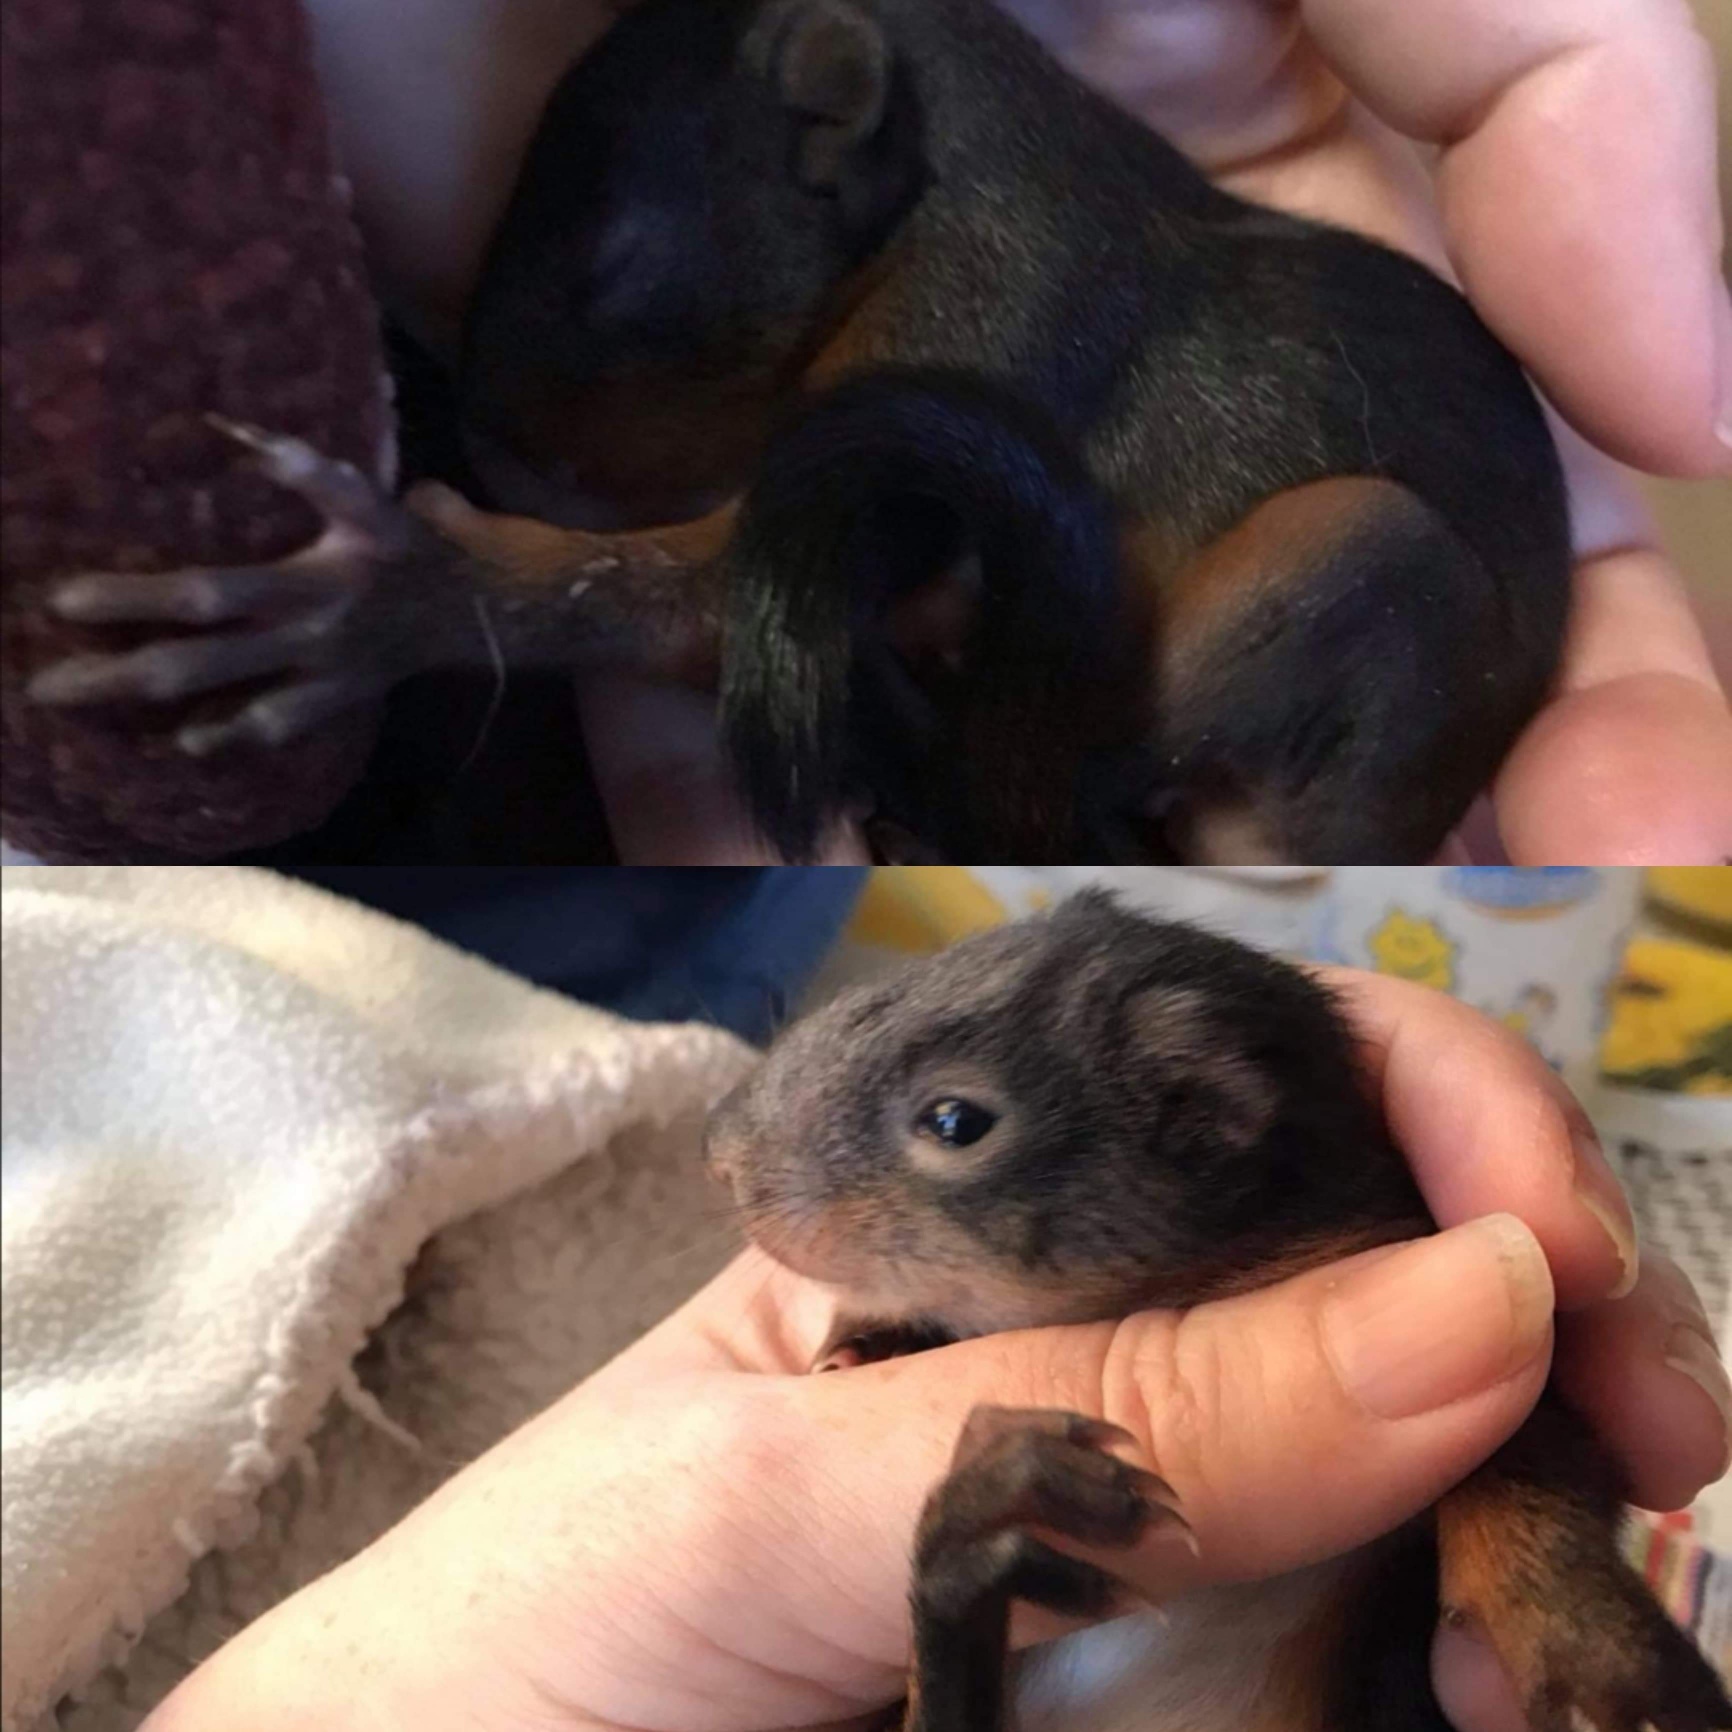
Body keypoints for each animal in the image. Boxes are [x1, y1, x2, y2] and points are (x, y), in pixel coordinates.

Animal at [27, 0, 1571, 864]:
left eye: (617, 276)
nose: (491, 435)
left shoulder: (993, 313)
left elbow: (727, 586)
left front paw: (394, 596)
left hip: (1356, 566)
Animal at [702, 891, 1732, 1732]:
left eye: (955, 1123)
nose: (721, 1156)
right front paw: (865, 1345)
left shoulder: (1497, 1334)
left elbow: (1530, 1468)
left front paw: (1590, 1642)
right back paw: (987, 1537)